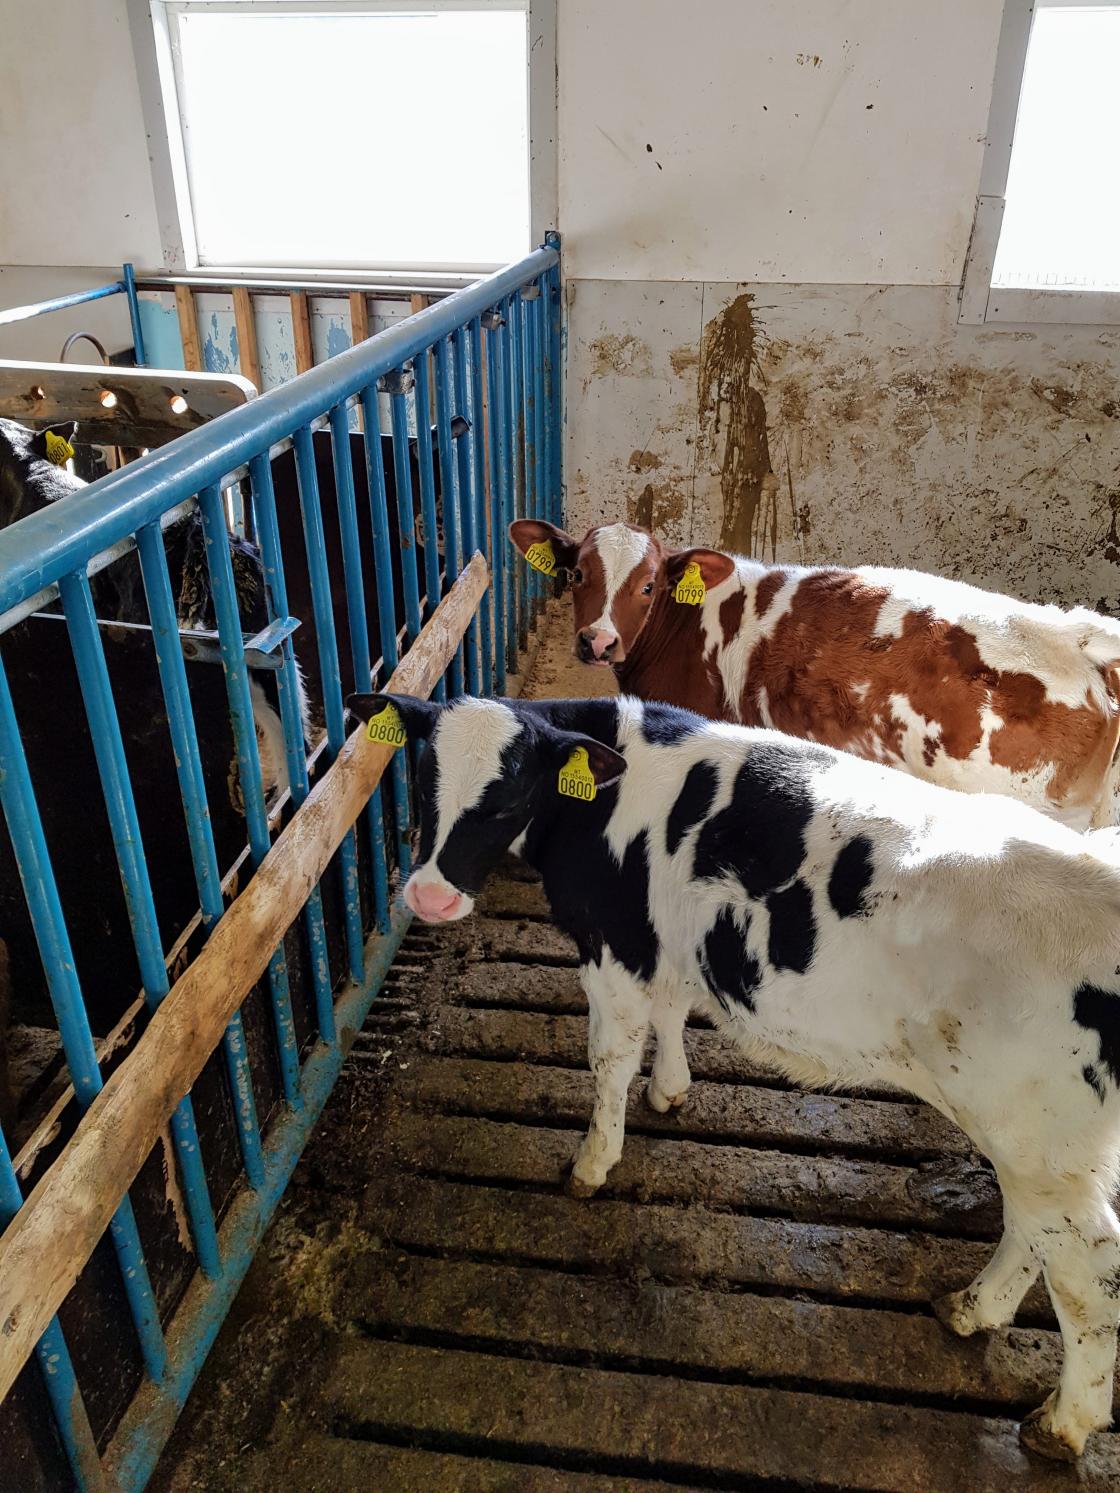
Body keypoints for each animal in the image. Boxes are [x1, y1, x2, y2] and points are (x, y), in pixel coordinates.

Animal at [348, 687, 1120, 1463]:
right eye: (421, 778)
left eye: (509, 799)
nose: (430, 897)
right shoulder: (665, 937)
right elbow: (670, 1010)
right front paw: (670, 1089)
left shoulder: (613, 943)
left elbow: (609, 1057)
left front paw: (593, 1162)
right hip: (1039, 1145)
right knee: (1034, 1233)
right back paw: (971, 1310)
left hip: (1036, 1136)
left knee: (1088, 1271)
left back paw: (1061, 1424)